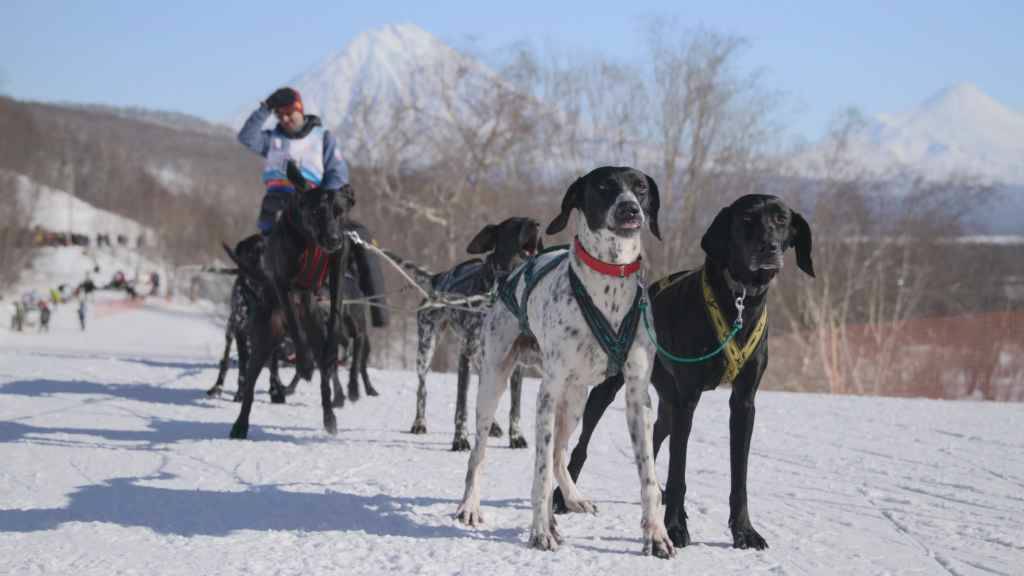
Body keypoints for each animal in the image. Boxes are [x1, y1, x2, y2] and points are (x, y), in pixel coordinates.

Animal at [385, 217, 544, 450]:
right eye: (516, 224)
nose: (538, 224)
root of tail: (436, 278)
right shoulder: (465, 356)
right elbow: (462, 406)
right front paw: (460, 439)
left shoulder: (516, 365)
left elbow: (515, 408)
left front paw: (516, 436)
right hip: (426, 350)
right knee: (422, 389)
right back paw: (419, 423)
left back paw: (493, 425)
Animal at [452, 165, 675, 557]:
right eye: (604, 186)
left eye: (641, 188)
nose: (630, 209)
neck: (609, 285)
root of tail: (515, 273)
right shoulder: (547, 393)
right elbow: (539, 474)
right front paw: (540, 530)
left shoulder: (637, 397)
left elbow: (649, 476)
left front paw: (656, 533)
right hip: (493, 383)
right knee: (479, 453)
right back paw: (471, 506)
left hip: (575, 401)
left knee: (558, 453)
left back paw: (571, 498)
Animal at [557, 193, 811, 553]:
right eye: (746, 219)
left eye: (781, 220)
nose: (769, 247)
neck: (738, 300)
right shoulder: (688, 400)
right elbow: (679, 471)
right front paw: (675, 526)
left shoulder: (743, 403)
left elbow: (739, 476)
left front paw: (744, 531)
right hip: (613, 390)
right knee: (584, 440)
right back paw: (562, 496)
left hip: (666, 404)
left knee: (654, 437)